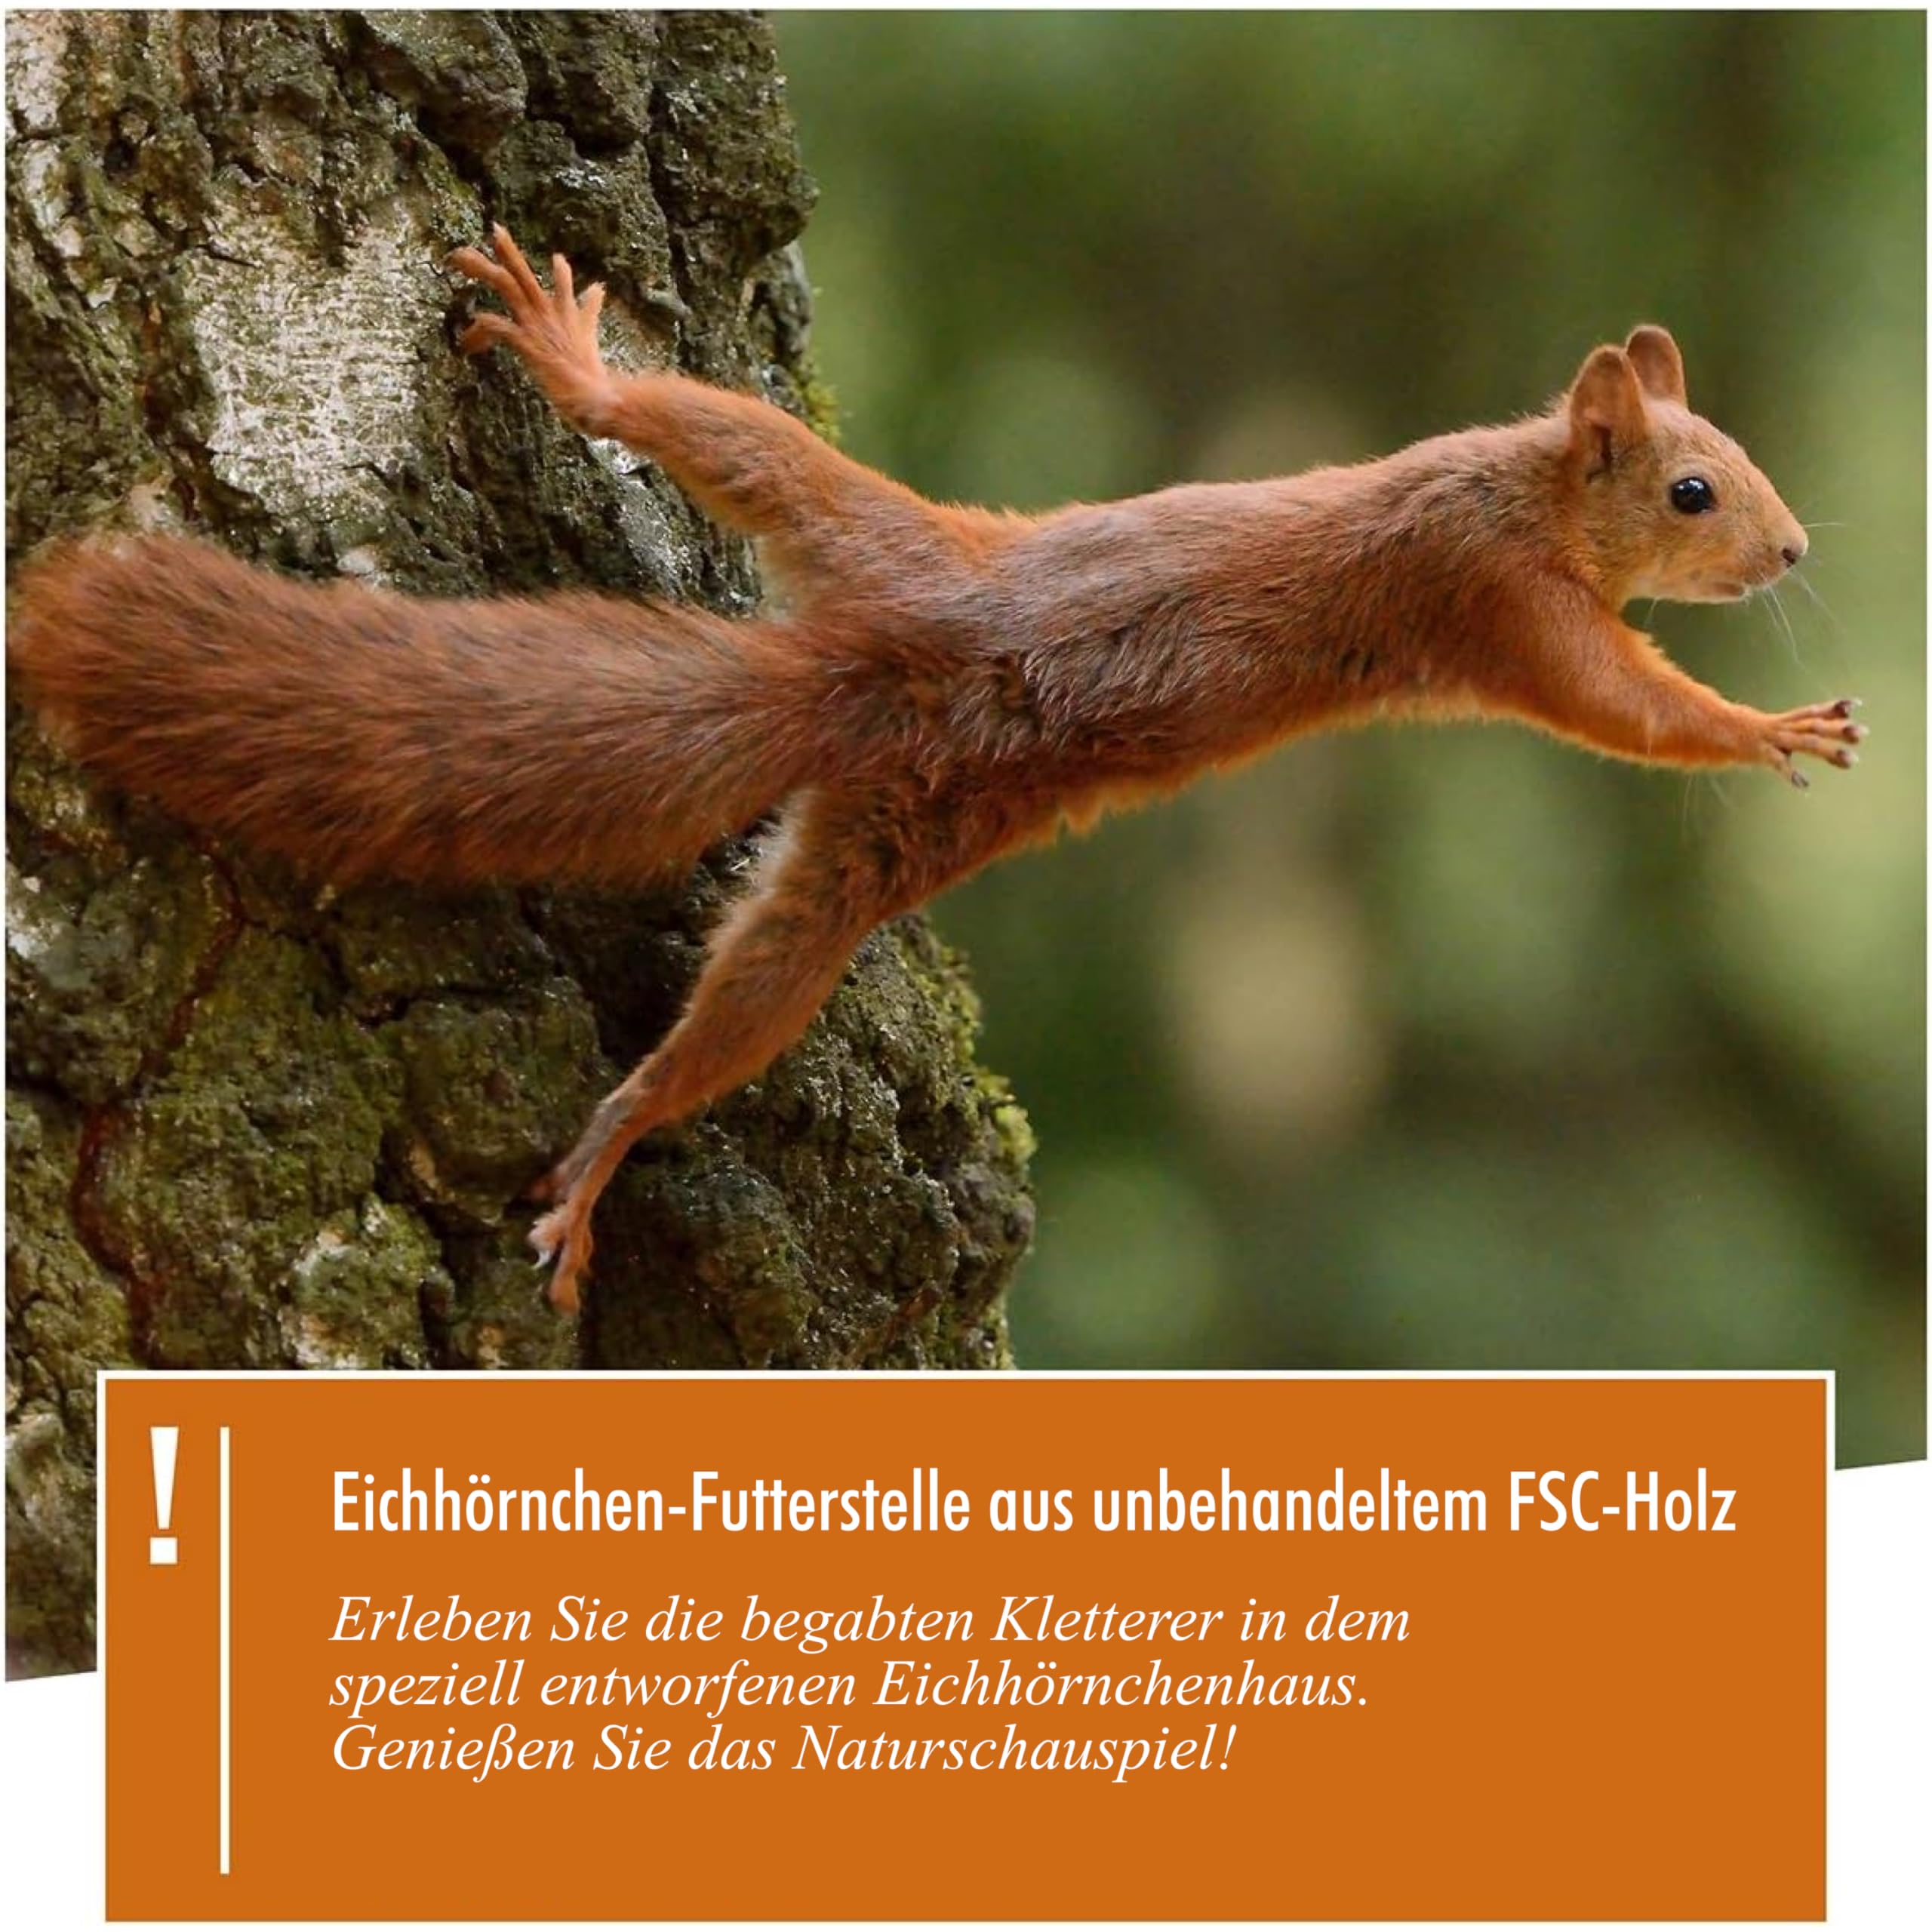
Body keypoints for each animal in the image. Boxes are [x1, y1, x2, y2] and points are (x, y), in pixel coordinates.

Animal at [9, 226, 1864, 1314]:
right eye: (1693, 489)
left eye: (1737, 458)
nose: (1792, 550)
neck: (1519, 484)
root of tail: (871, 672)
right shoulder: (1500, 604)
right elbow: (1624, 710)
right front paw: (1768, 728)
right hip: (881, 613)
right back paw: (609, 1146)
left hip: (856, 687)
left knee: (713, 469)